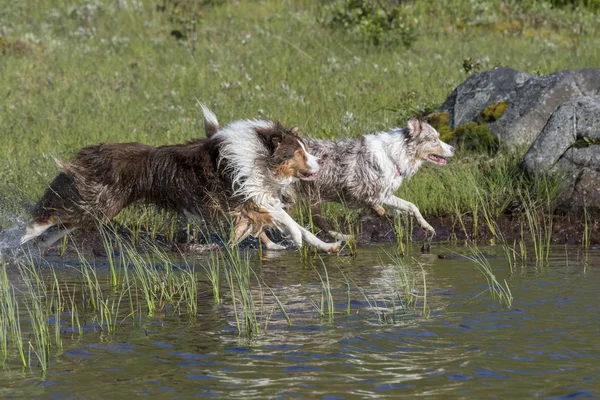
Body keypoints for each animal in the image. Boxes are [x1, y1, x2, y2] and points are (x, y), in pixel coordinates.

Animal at [19, 108, 342, 253]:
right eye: (299, 153)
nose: (320, 162)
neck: (260, 156)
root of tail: (93, 151)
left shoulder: (254, 199)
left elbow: (293, 223)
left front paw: (326, 246)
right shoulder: (244, 197)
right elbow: (286, 219)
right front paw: (297, 239)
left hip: (100, 209)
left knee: (64, 224)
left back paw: (38, 245)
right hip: (98, 201)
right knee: (51, 216)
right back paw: (22, 237)